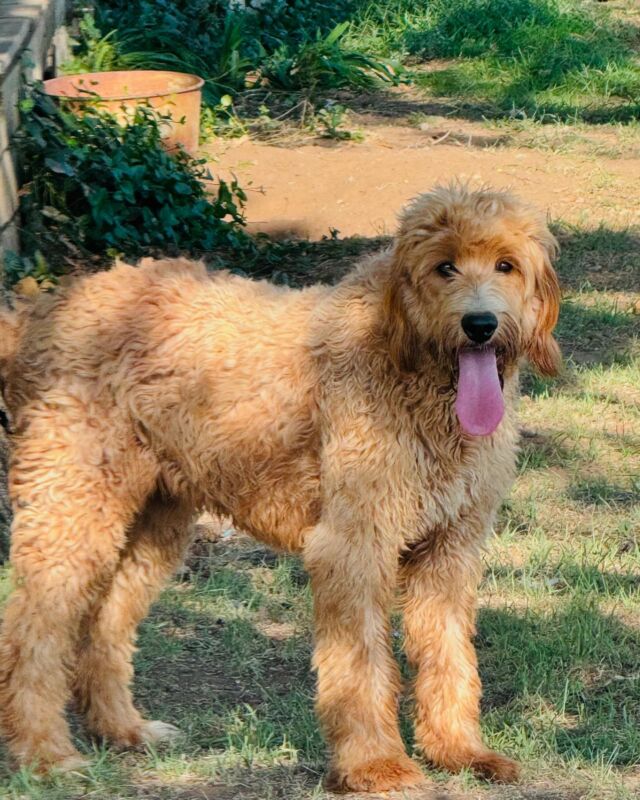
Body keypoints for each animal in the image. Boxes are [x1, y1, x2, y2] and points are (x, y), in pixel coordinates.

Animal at [0, 184, 560, 792]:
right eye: (444, 266)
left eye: (506, 265)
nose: (480, 324)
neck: (407, 361)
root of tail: (44, 311)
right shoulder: (354, 546)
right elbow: (360, 663)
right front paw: (374, 764)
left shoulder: (450, 547)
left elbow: (450, 655)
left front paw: (460, 751)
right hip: (71, 506)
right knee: (30, 631)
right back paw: (44, 752)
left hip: (153, 524)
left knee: (104, 626)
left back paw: (123, 729)